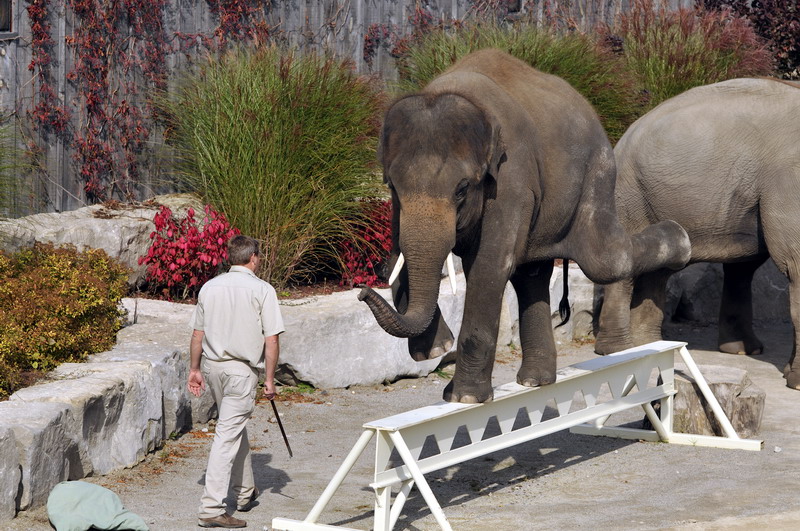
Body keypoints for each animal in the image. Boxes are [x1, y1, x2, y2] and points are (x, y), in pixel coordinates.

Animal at [357, 49, 691, 404]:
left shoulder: (512, 180)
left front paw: (464, 398)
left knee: (605, 261)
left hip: (597, 174)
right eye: (392, 186)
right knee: (533, 275)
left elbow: (489, 268)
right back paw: (536, 381)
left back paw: (680, 240)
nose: (362, 291)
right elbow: (399, 257)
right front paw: (435, 351)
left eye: (462, 189)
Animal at [594, 77, 800, 390]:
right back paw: (619, 350)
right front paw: (797, 382)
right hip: (629, 195)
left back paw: (655, 346)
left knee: (672, 267)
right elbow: (796, 265)